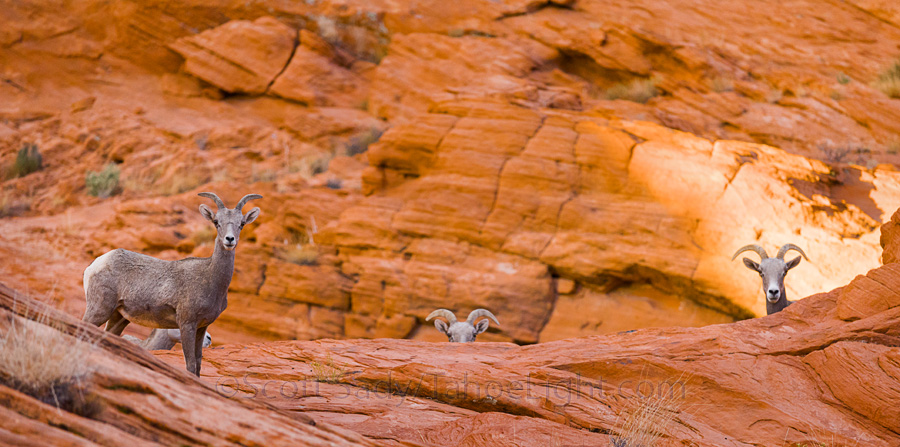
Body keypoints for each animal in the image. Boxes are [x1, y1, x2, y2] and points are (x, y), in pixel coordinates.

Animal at [82, 192, 261, 376]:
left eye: (241, 224)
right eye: (216, 222)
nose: (229, 240)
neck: (210, 280)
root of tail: (96, 264)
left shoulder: (202, 327)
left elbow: (198, 363)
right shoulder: (187, 324)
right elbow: (190, 364)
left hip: (119, 317)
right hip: (100, 309)